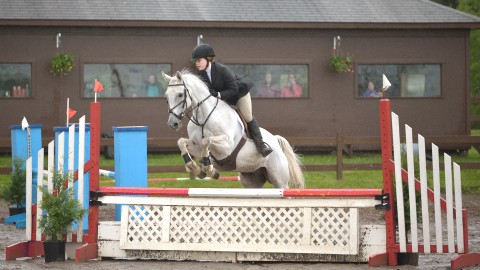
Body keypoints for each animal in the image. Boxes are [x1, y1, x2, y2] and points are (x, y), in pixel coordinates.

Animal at [161, 68, 304, 189]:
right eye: (166, 96)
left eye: (180, 94)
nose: (173, 123)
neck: (203, 117)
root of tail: (275, 140)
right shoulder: (196, 146)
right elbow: (181, 142)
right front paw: (196, 169)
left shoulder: (227, 146)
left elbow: (206, 141)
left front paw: (209, 169)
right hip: (252, 180)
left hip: (279, 180)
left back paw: (265, 148)